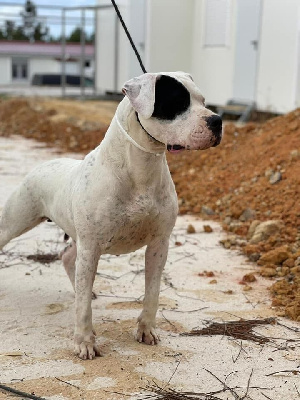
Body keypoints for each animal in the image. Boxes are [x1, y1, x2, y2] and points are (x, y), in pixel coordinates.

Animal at [0, 72, 220, 360]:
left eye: (203, 101)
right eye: (177, 102)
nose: (217, 121)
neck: (140, 168)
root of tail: (43, 165)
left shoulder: (159, 244)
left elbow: (152, 292)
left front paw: (146, 330)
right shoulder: (92, 247)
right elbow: (83, 309)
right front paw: (84, 342)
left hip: (79, 239)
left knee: (68, 257)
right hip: (18, 223)